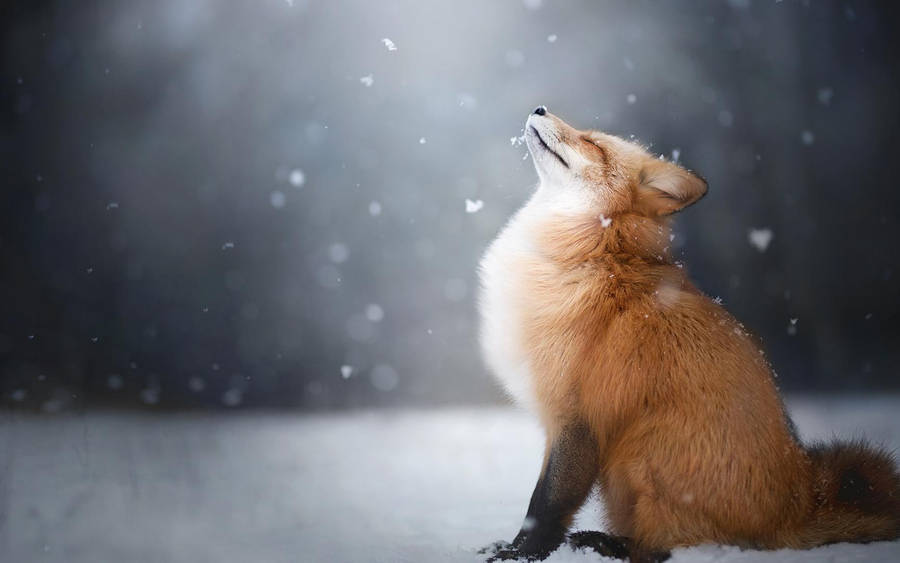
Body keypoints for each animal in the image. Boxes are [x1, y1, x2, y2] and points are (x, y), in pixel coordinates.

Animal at [477, 107, 900, 562]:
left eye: (593, 143)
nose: (539, 109)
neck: (595, 251)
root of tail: (798, 504)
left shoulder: (577, 417)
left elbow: (546, 504)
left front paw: (520, 553)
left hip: (639, 451)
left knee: (663, 547)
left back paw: (607, 543)